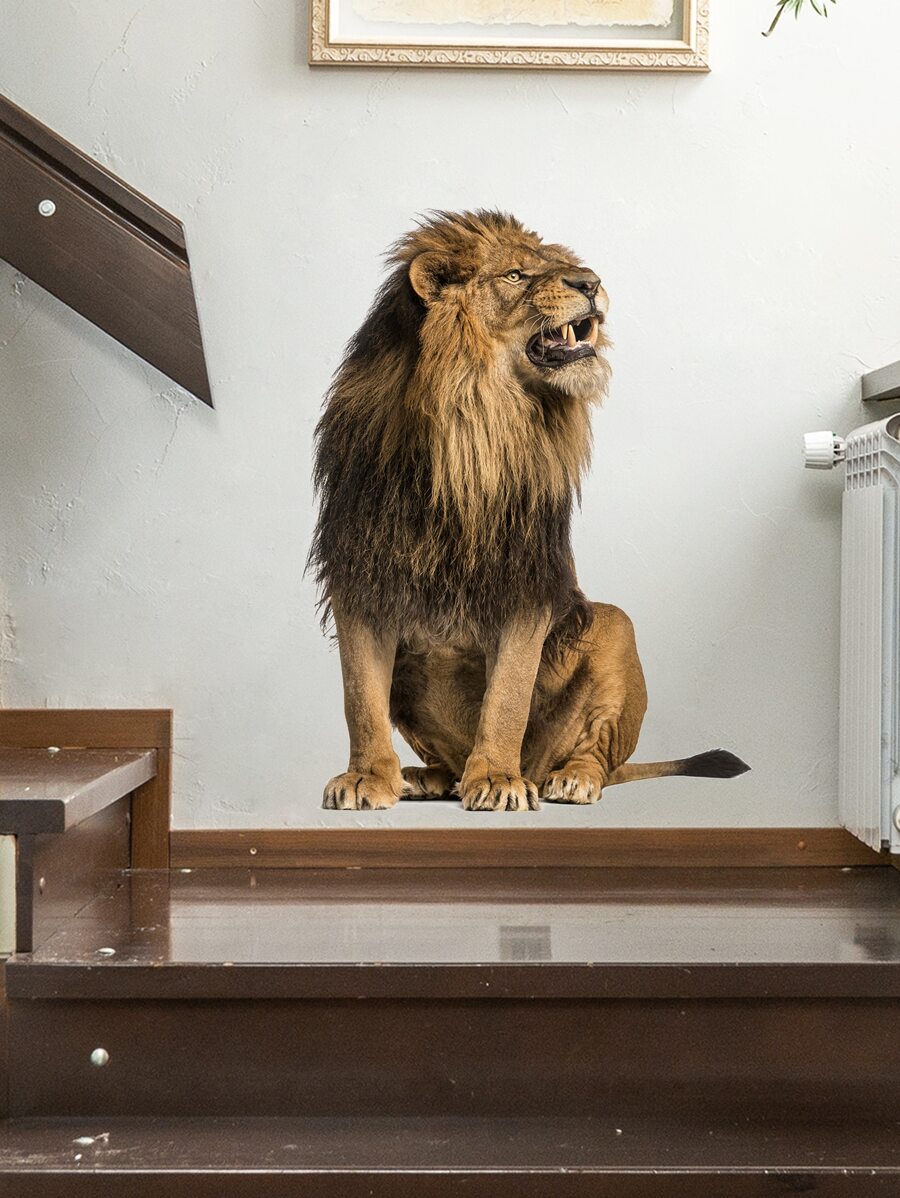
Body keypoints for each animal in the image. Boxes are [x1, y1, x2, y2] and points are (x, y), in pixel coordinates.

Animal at [309, 210, 748, 811]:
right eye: (516, 275)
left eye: (564, 265)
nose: (590, 282)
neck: (474, 424)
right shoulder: (361, 575)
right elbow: (360, 699)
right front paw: (366, 778)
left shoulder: (526, 582)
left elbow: (508, 697)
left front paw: (496, 778)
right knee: (440, 757)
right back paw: (425, 778)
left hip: (615, 627)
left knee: (597, 756)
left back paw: (567, 779)